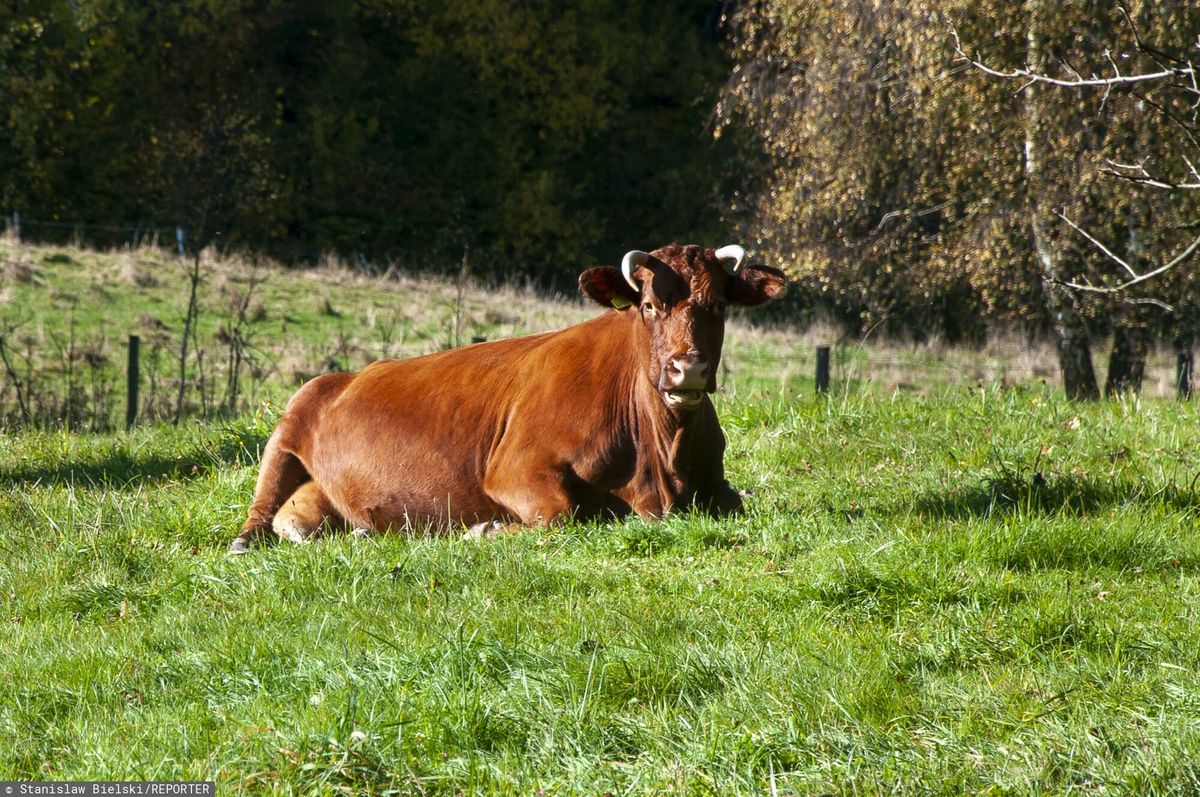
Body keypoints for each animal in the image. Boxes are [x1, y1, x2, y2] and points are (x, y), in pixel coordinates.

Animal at [229, 242, 787, 554]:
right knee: (263, 507)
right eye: (649, 305)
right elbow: (562, 514)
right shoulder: (514, 469)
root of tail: (345, 376)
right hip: (288, 425)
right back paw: (245, 541)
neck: (661, 465)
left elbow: (740, 502)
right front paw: (484, 531)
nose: (687, 368)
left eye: (719, 306)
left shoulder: (717, 487)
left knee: (301, 515)